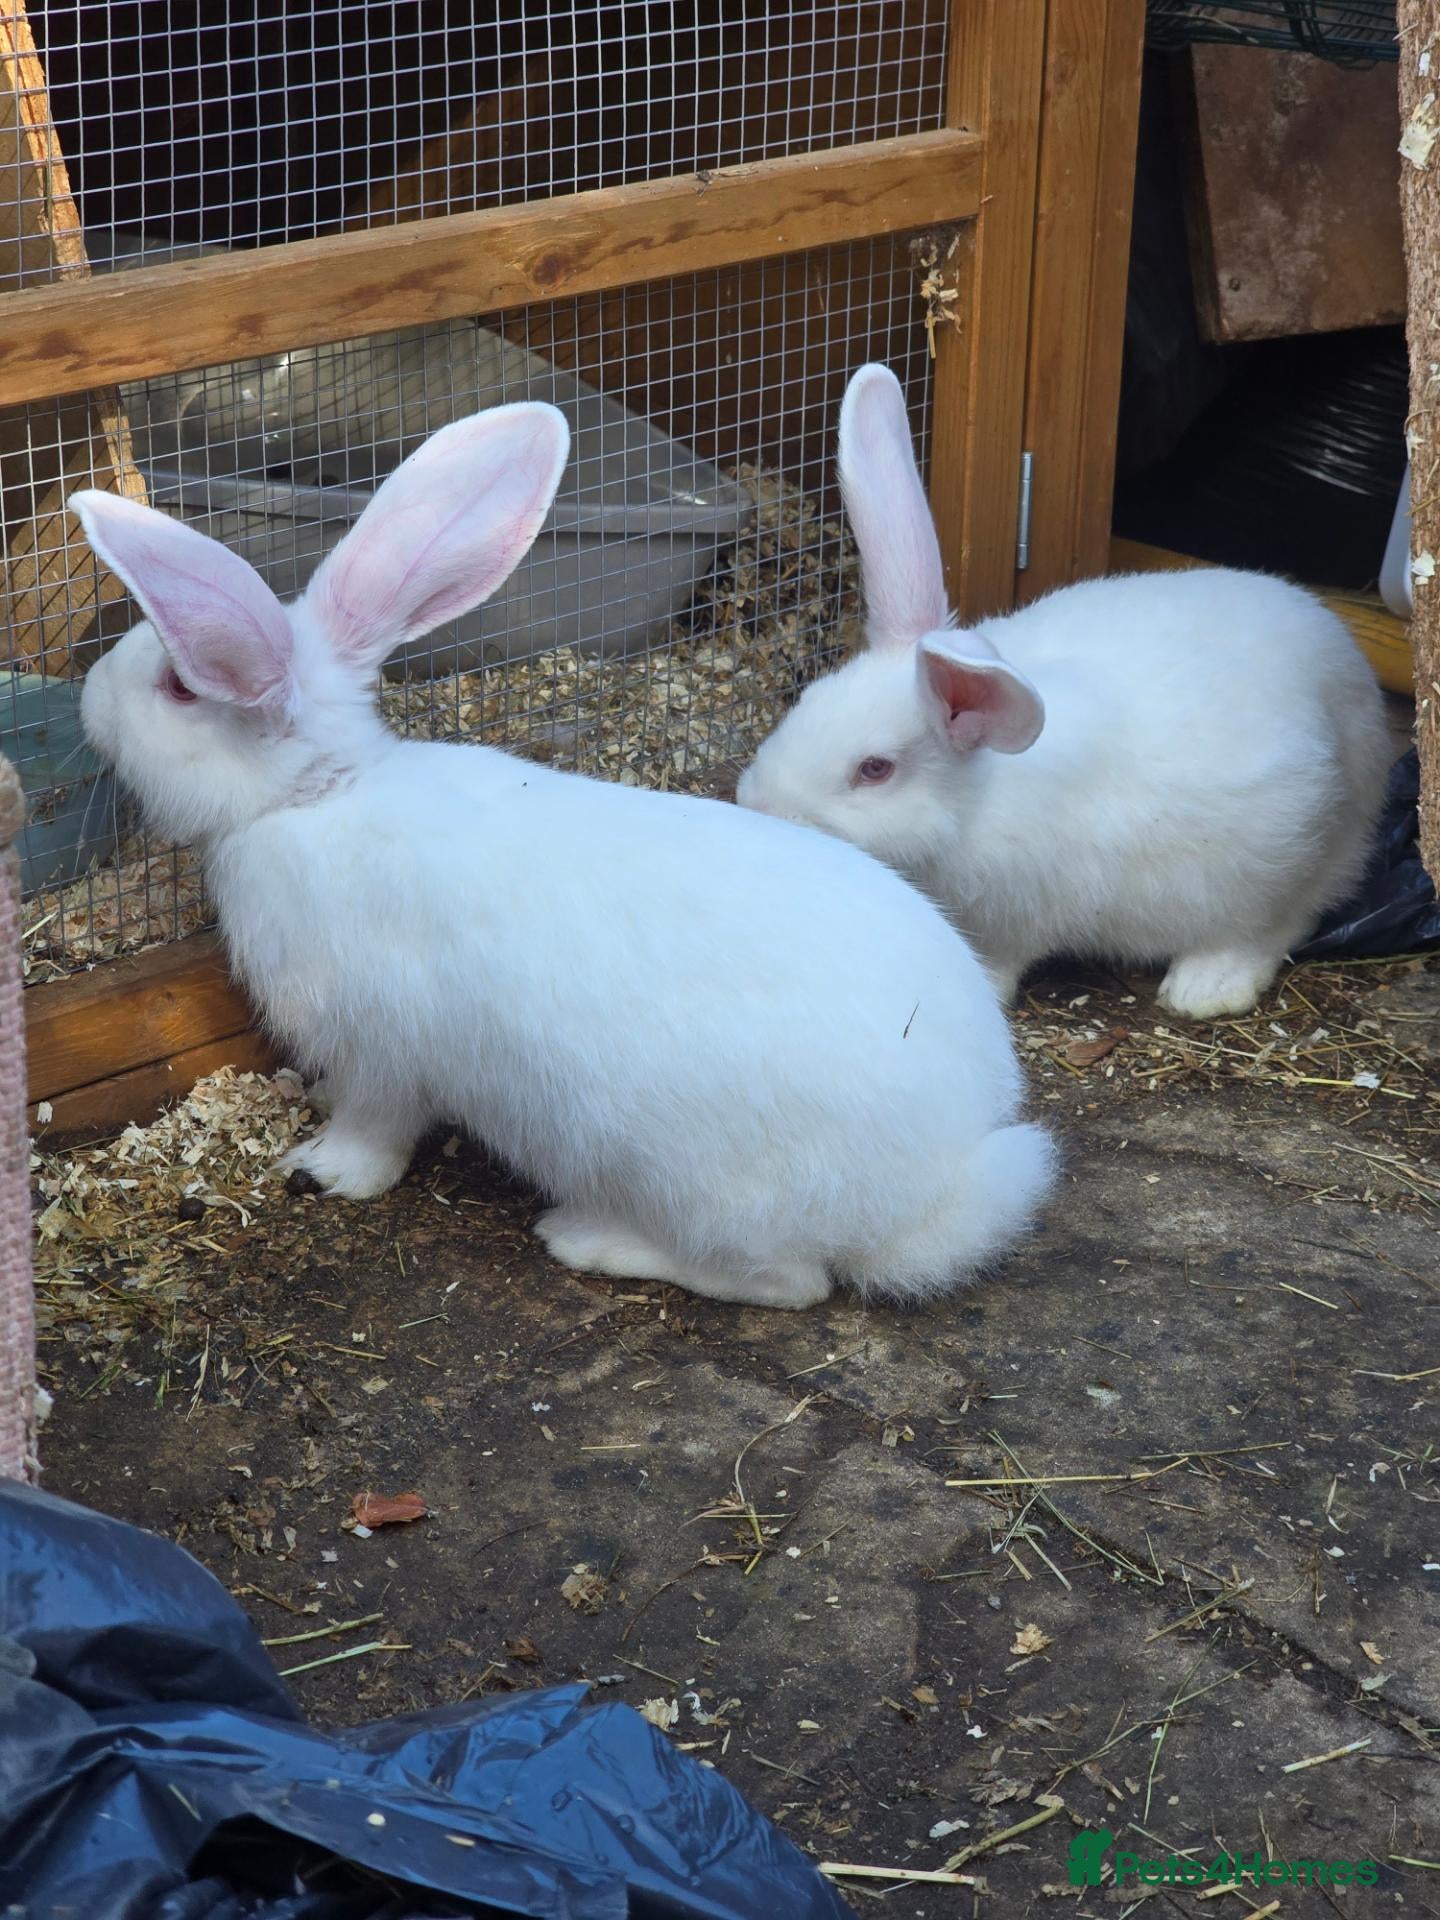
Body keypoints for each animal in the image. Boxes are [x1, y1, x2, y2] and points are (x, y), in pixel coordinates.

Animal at [71, 402, 1054, 1312]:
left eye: (177, 686)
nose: (88, 700)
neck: (322, 792)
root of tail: (939, 1185)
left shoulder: (381, 1049)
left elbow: (376, 1127)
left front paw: (323, 1170)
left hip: (690, 1178)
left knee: (789, 1282)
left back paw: (593, 1240)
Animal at [735, 363, 1392, 1020]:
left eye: (874, 769)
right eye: (805, 702)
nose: (756, 806)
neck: (975, 799)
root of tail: (1354, 684)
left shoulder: (1009, 918)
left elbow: (996, 961)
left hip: (1283, 858)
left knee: (1280, 923)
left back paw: (1203, 988)